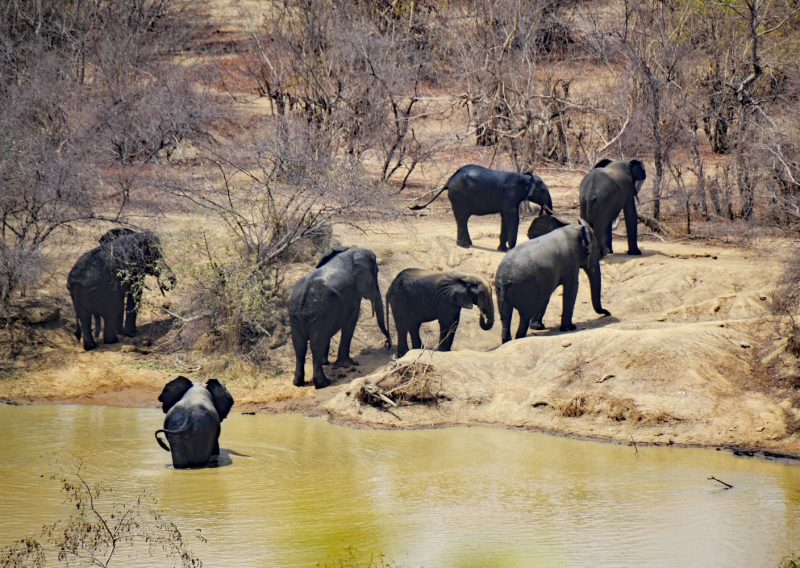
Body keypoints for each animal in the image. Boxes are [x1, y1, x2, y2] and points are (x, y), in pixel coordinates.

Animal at [289, 246, 391, 389]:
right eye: (376, 273)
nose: (387, 344)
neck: (349, 252)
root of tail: (304, 292)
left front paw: (326, 362)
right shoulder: (353, 294)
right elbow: (351, 322)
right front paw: (349, 364)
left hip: (297, 313)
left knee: (299, 345)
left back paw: (298, 383)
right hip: (318, 311)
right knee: (315, 344)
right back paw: (323, 383)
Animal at [410, 164, 554, 251]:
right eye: (543, 190)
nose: (548, 211)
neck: (526, 177)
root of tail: (449, 180)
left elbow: (504, 218)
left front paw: (502, 250)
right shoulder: (511, 197)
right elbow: (512, 217)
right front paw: (510, 250)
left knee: (461, 219)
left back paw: (466, 244)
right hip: (459, 196)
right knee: (462, 218)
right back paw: (465, 246)